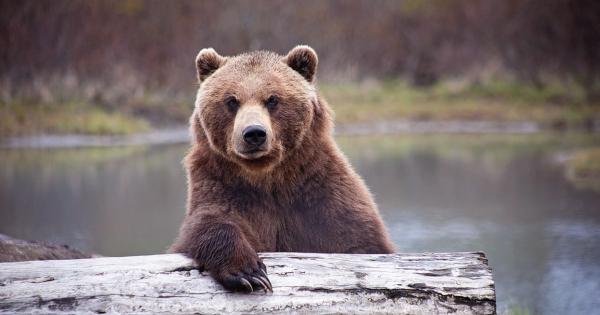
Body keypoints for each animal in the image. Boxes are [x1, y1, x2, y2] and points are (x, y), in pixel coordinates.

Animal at [169, 46, 396, 294]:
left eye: (272, 99)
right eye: (231, 101)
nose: (254, 133)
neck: (269, 178)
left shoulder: (321, 194)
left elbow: (359, 239)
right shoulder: (222, 185)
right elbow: (210, 222)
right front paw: (249, 274)